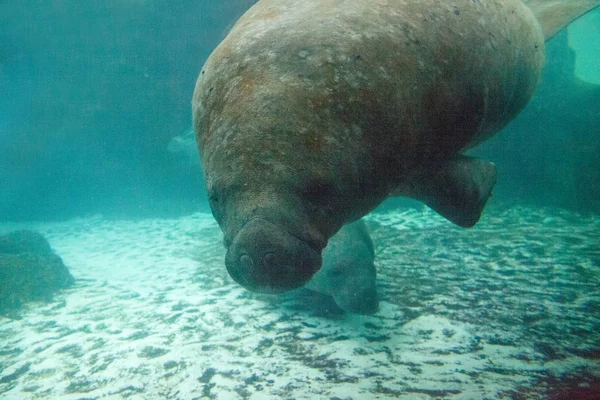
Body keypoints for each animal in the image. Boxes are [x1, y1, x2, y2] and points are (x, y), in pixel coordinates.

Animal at [193, 0, 600, 292]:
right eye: (216, 197)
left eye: (320, 191)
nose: (261, 255)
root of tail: (532, 17)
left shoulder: (404, 154)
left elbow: (451, 193)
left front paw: (485, 185)